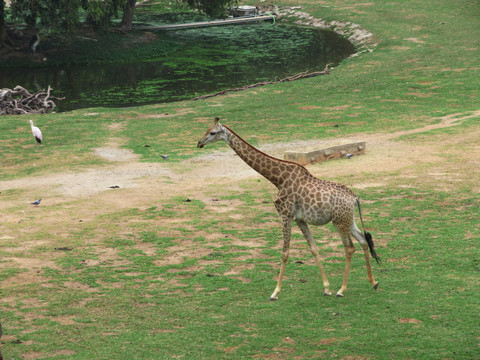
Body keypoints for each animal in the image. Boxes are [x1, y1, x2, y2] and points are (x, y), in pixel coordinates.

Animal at [197, 118, 380, 298]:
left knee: (349, 248)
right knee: (363, 241)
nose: (199, 143)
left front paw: (275, 292)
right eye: (206, 130)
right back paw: (373, 282)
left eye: (212, 132)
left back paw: (342, 289)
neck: (278, 179)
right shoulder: (299, 219)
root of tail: (354, 198)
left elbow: (285, 253)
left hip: (339, 222)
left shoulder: (285, 215)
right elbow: (313, 248)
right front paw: (326, 288)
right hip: (348, 219)